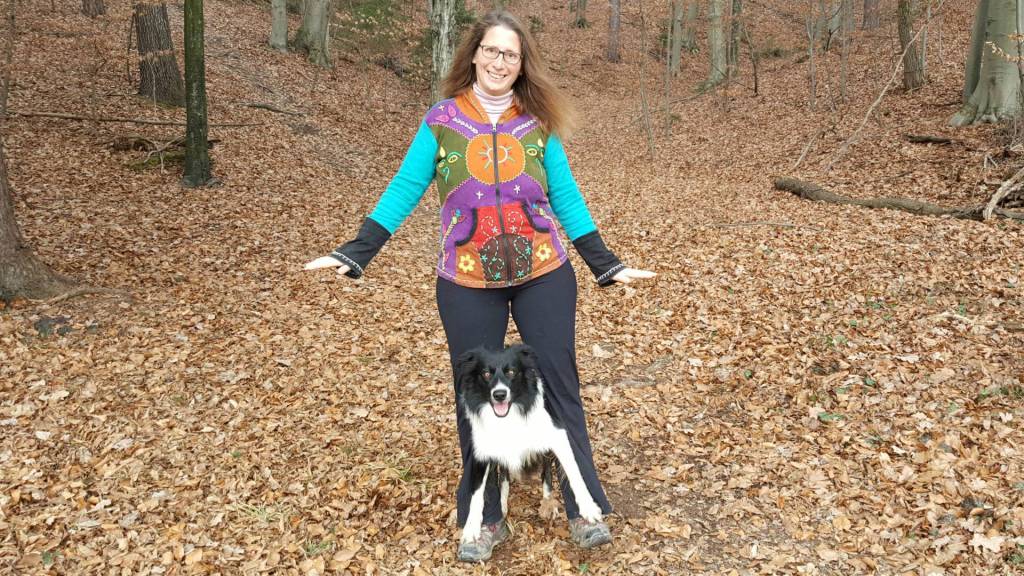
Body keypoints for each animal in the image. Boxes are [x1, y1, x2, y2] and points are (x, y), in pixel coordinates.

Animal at [454, 344, 603, 545]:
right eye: (485, 374)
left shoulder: (557, 435)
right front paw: (471, 527)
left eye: (511, 371)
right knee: (504, 477)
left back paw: (548, 502)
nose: (499, 395)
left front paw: (588, 507)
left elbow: (574, 473)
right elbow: (477, 493)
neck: (507, 417)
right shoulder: (483, 451)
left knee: (546, 473)